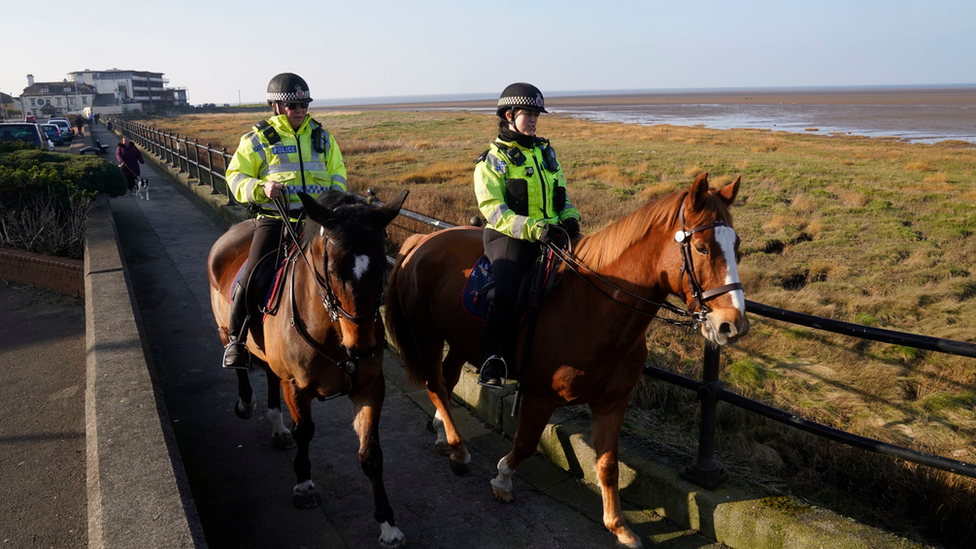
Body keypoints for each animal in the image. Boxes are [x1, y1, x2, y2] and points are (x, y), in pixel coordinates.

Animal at [212, 187, 410, 544]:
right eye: (332, 269)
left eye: (382, 267)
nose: (362, 346)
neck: (333, 332)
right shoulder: (296, 387)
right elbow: (304, 431)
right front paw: (304, 486)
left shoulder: (370, 388)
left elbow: (371, 455)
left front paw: (387, 523)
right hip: (225, 329)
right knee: (238, 359)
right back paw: (246, 400)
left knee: (270, 377)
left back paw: (277, 428)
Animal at [386, 173, 752, 544]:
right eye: (702, 247)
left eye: (736, 246)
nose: (733, 326)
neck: (591, 308)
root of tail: (422, 240)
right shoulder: (539, 397)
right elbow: (526, 443)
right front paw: (502, 479)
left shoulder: (612, 402)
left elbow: (608, 465)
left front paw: (618, 525)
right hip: (427, 335)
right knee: (435, 385)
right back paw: (459, 450)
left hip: (459, 341)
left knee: (446, 381)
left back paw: (442, 434)